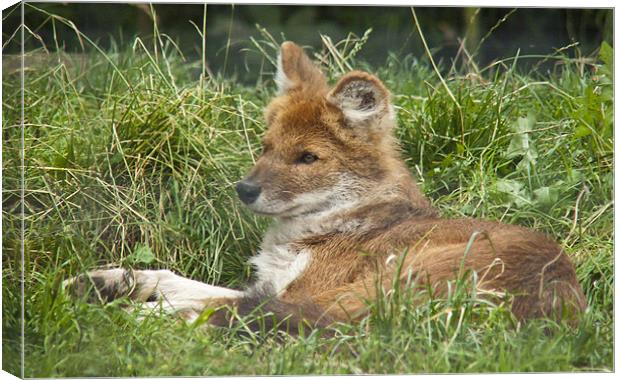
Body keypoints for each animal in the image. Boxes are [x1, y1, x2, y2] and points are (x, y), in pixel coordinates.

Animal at [68, 40, 588, 332]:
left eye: (308, 157)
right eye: (266, 146)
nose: (245, 190)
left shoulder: (302, 288)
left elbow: (215, 298)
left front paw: (129, 303)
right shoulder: (274, 283)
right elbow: (180, 279)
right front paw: (111, 280)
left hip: (388, 279)